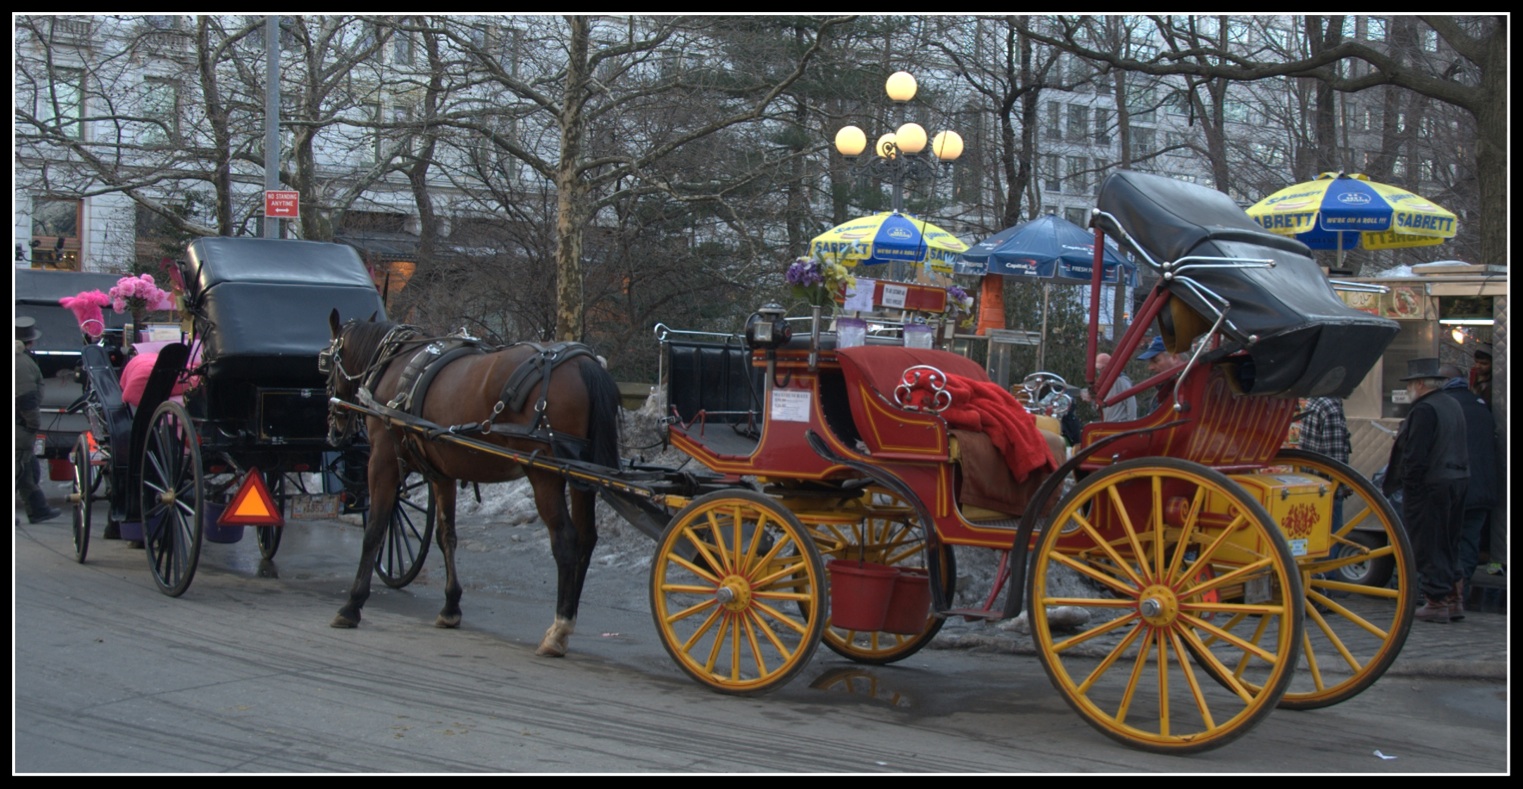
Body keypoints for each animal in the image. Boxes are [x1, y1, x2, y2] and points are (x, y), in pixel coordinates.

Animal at [324, 312, 621, 658]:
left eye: (326, 362)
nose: (334, 427)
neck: (396, 362)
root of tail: (584, 363)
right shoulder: (441, 473)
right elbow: (446, 536)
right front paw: (451, 606)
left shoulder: (383, 460)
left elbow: (375, 531)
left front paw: (352, 605)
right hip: (581, 476)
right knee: (586, 538)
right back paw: (568, 617)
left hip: (545, 475)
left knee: (566, 541)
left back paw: (558, 631)